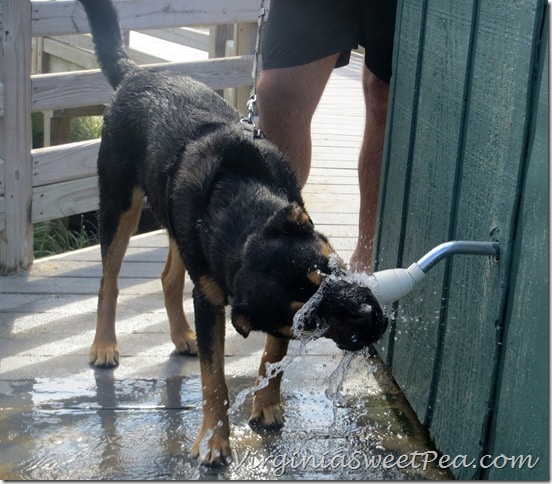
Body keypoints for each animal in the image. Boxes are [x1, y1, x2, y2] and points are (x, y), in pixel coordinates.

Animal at [78, 0, 388, 466]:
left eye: (330, 270)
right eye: (311, 321)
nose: (371, 316)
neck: (241, 206)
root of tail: (135, 74)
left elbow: (272, 355)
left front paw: (268, 406)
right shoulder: (211, 301)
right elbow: (215, 378)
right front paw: (213, 441)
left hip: (173, 219)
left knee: (168, 276)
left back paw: (180, 335)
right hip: (120, 202)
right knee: (108, 279)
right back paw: (104, 345)